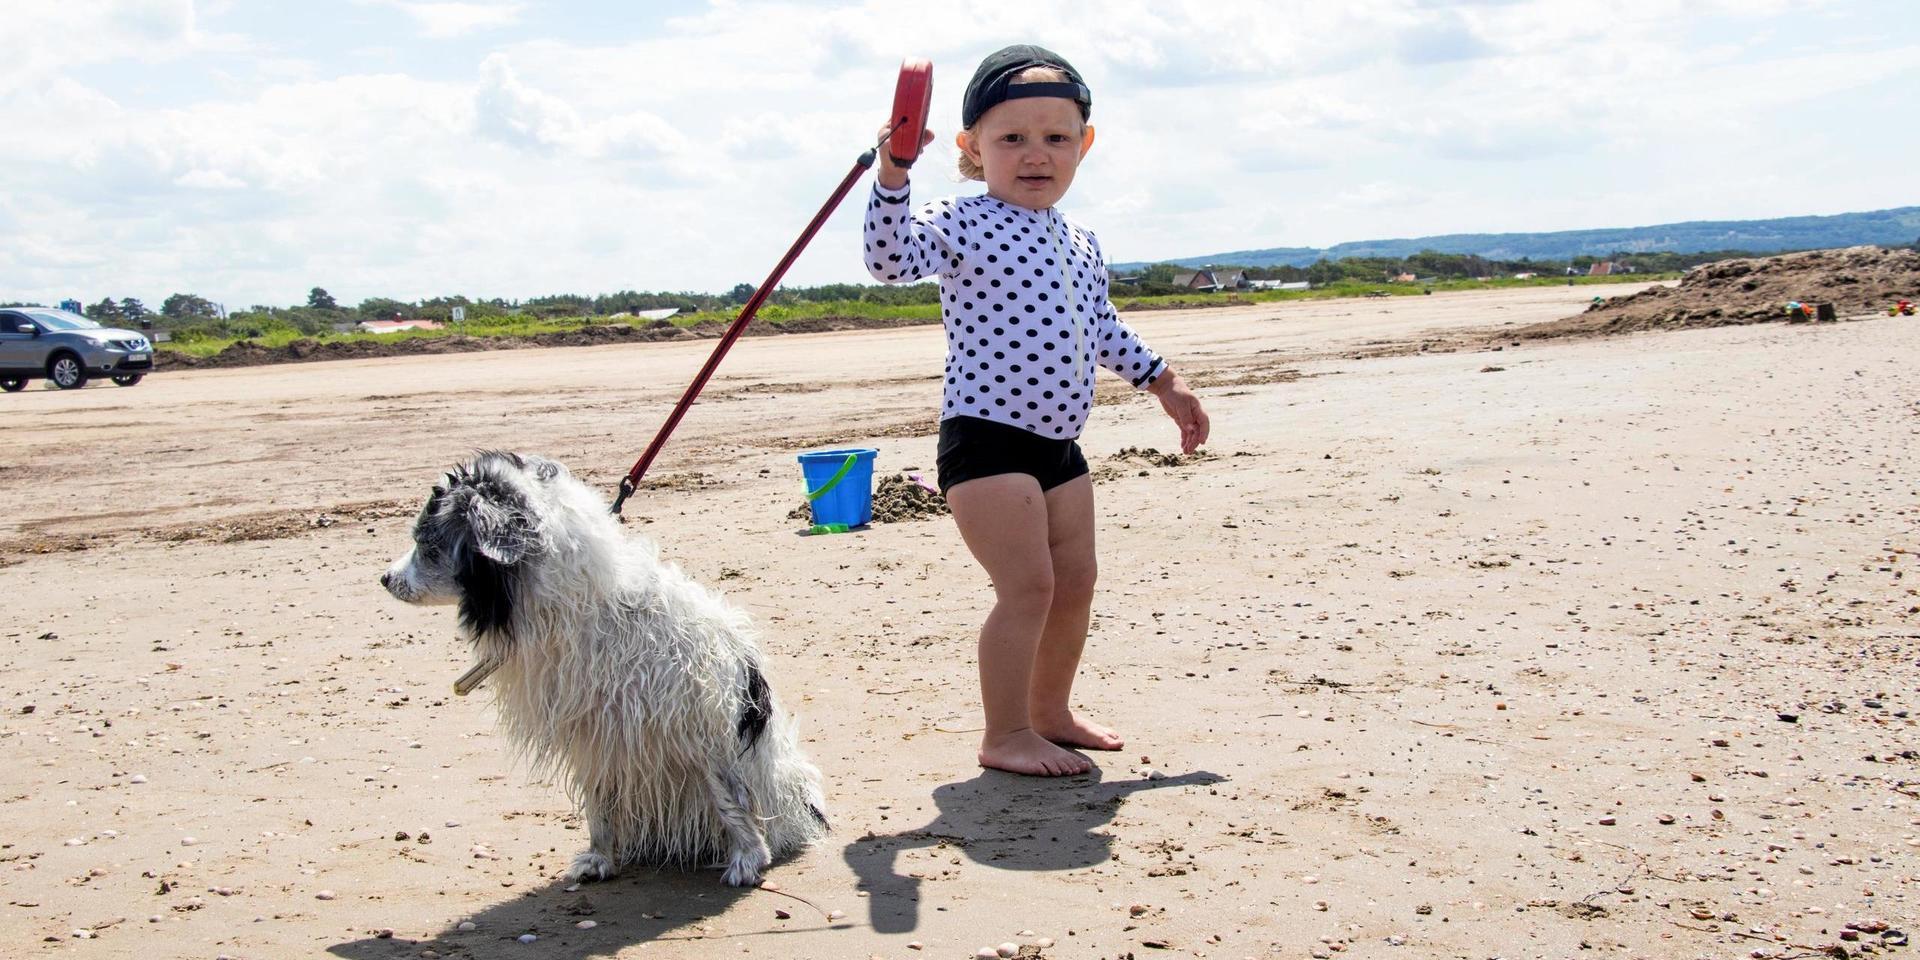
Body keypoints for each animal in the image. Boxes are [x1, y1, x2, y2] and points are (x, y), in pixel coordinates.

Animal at [380, 449, 825, 883]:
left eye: (427, 545)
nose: (384, 579)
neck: (581, 609)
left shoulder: (699, 726)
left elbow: (729, 798)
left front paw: (748, 857)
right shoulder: (594, 734)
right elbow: (600, 803)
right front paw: (599, 858)